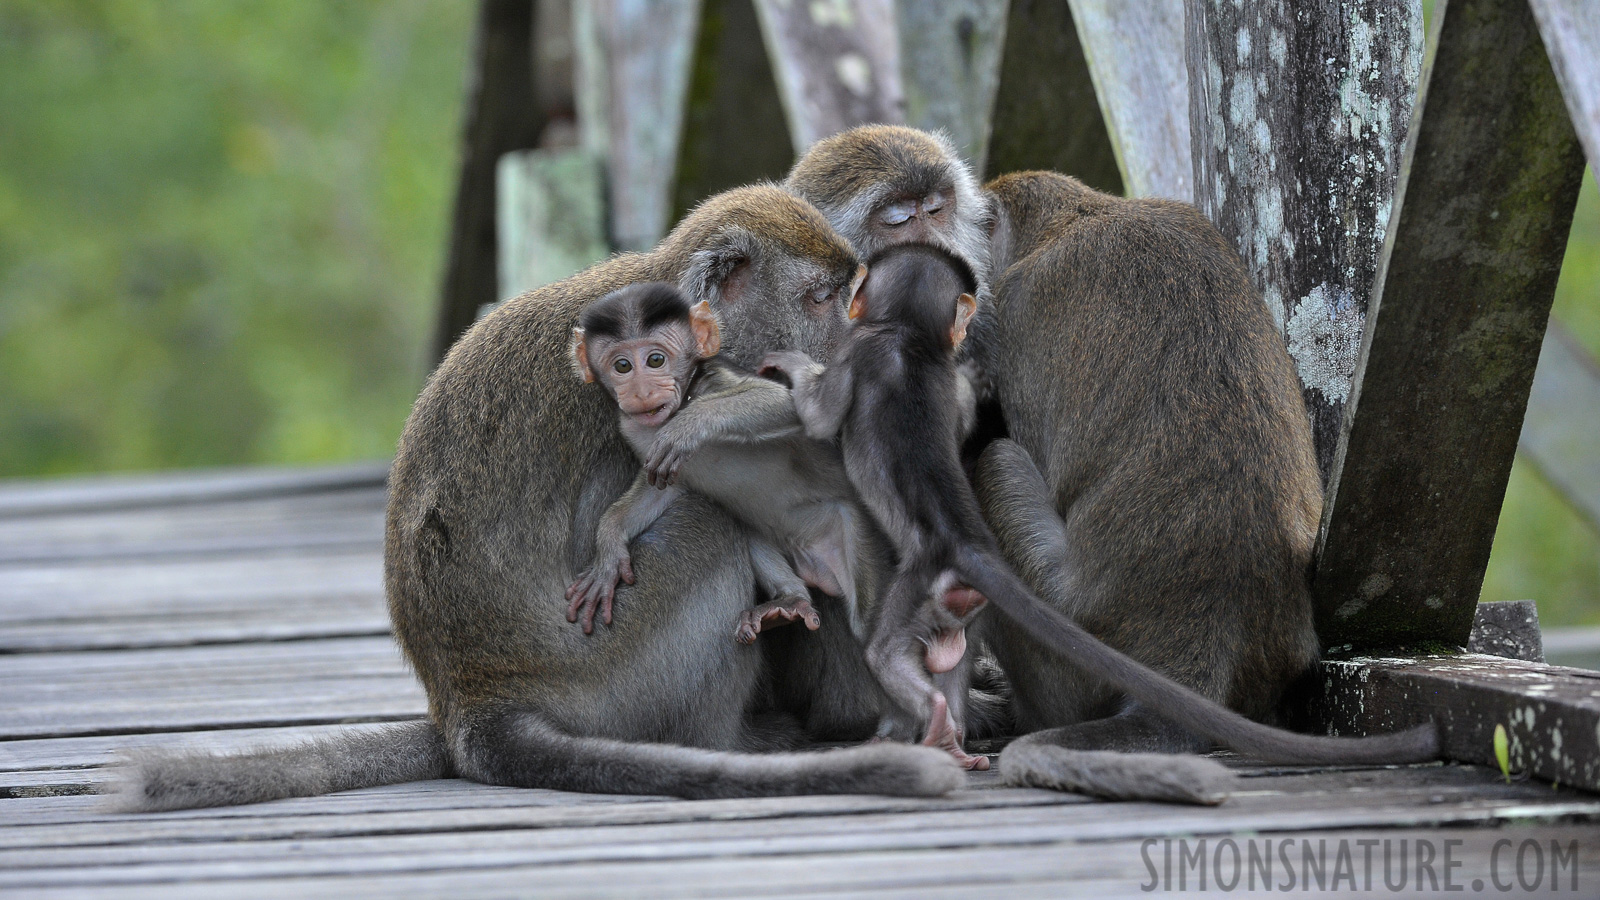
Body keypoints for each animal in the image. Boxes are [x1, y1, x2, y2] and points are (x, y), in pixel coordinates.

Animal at [761, 241, 1440, 794]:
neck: (906, 332)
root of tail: (963, 542)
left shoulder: (877, 347)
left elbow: (821, 416)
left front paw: (787, 367)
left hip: (935, 587)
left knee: (907, 619)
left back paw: (933, 719)